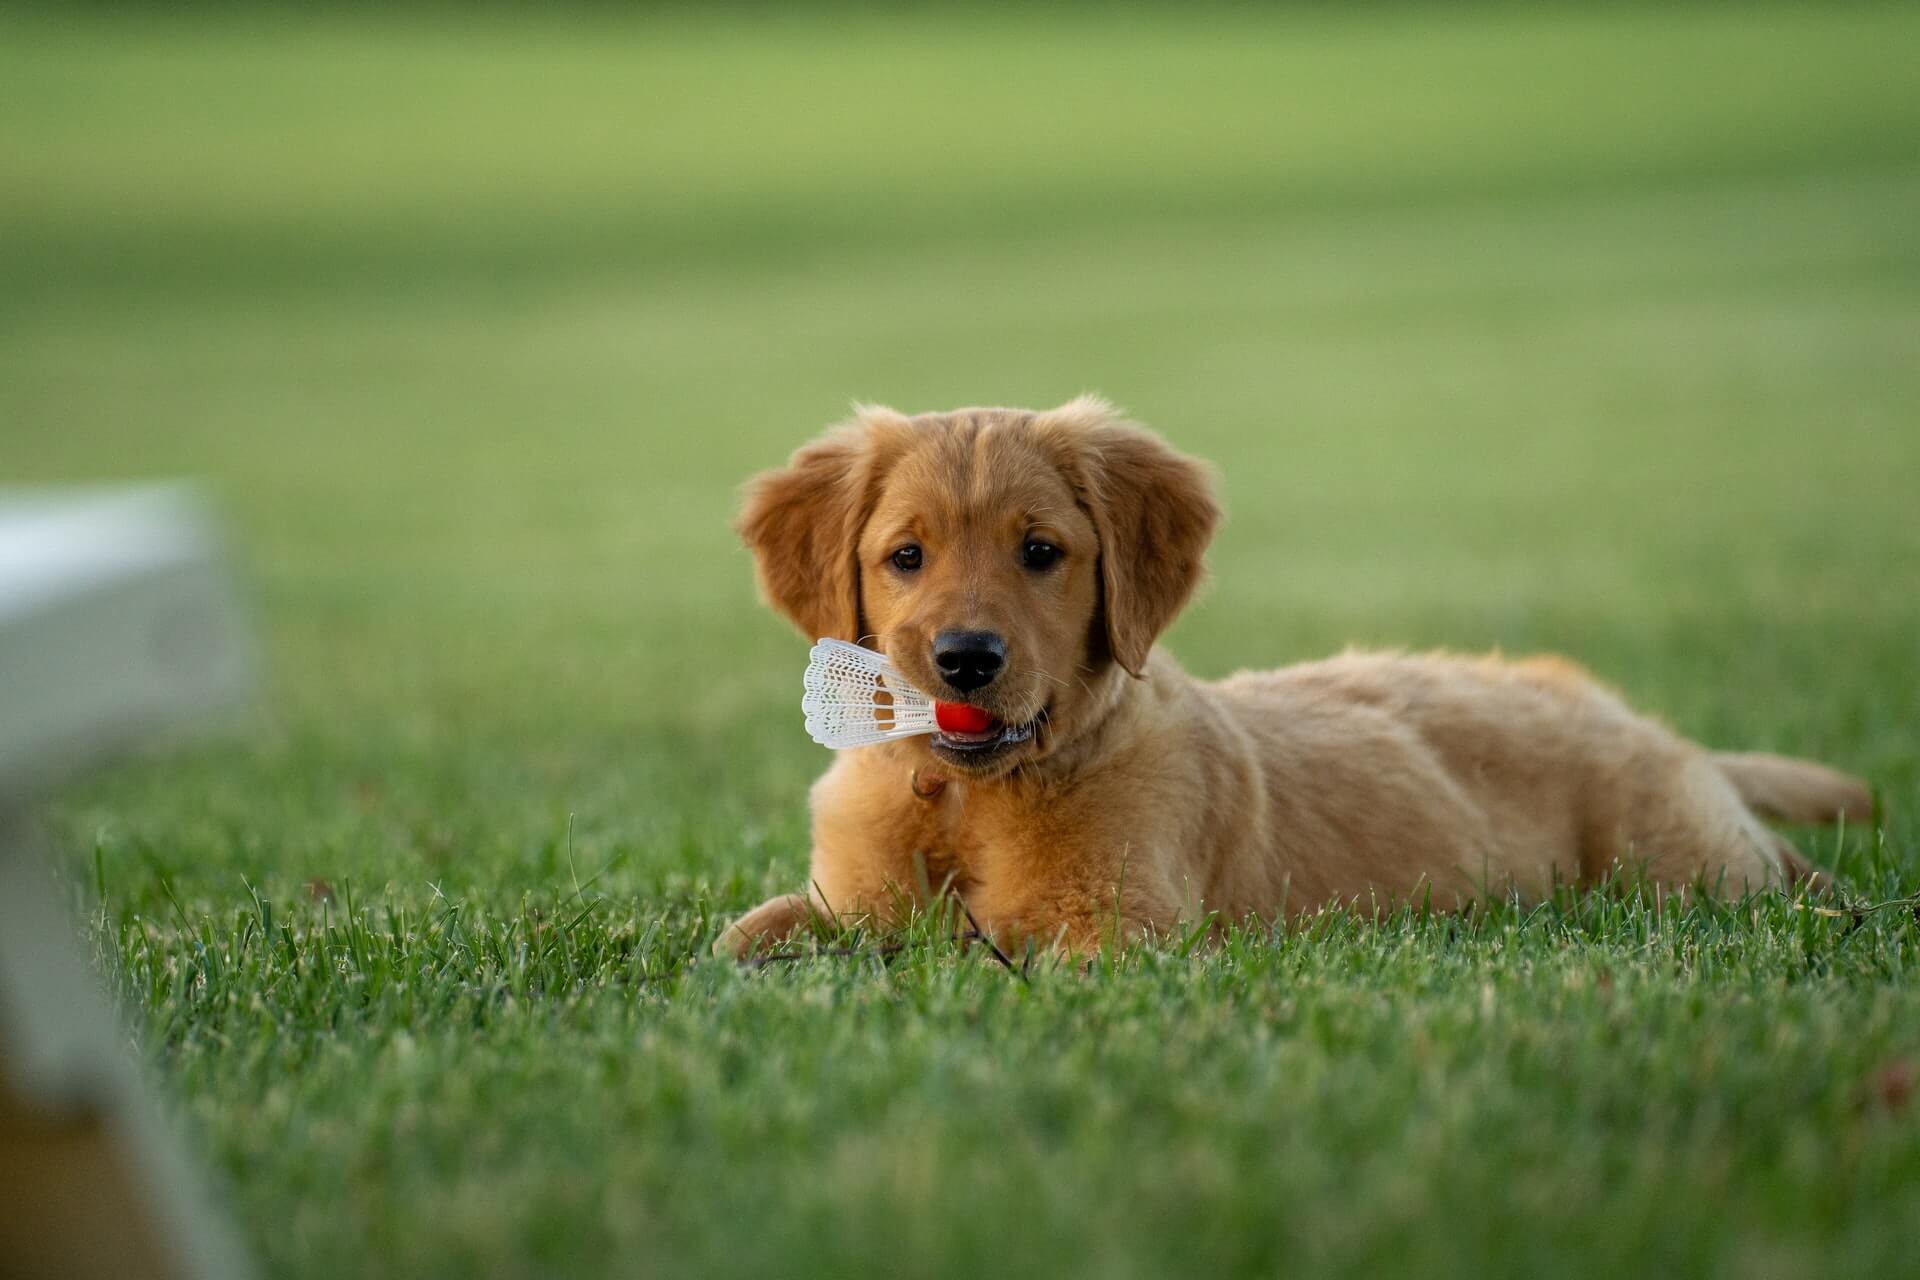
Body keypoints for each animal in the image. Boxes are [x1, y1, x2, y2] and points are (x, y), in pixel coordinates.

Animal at [718, 395, 1858, 955]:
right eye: (905, 556)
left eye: (1040, 552)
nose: (965, 656)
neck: (965, 797)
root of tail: (1644, 720)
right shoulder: (849, 895)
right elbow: (751, 935)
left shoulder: (1117, 937)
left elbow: (974, 955)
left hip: (1678, 860)